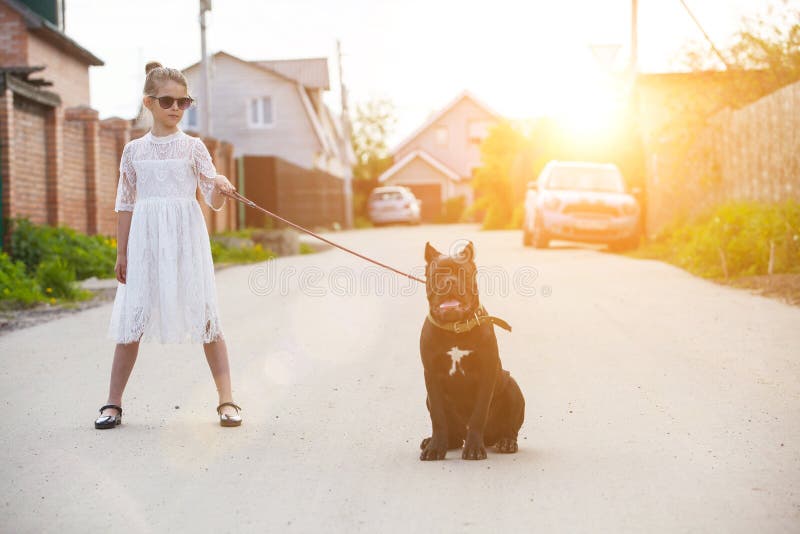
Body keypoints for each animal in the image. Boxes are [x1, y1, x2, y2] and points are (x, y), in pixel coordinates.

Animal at [418, 243, 524, 460]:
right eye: (437, 274)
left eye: (462, 273)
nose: (449, 281)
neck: (455, 329)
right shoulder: (431, 377)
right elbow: (438, 417)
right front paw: (435, 448)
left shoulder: (487, 374)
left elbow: (478, 415)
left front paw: (474, 448)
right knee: (453, 433)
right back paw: (436, 442)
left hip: (512, 387)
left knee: (510, 429)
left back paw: (506, 442)